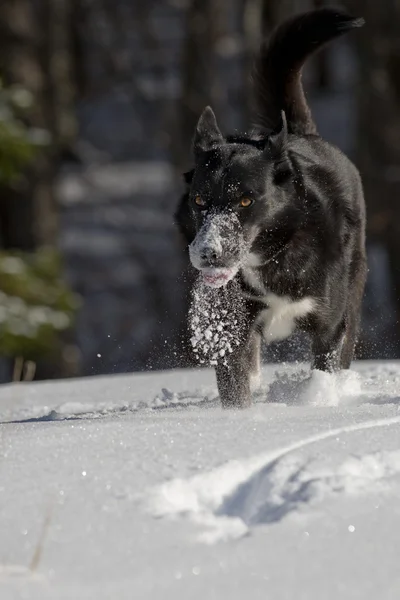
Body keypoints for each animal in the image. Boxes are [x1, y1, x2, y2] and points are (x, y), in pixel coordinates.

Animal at [177, 7, 368, 408]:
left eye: (246, 200)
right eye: (199, 201)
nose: (208, 253)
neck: (274, 254)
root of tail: (300, 133)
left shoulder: (330, 326)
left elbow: (326, 364)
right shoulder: (233, 327)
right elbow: (236, 384)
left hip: (354, 293)